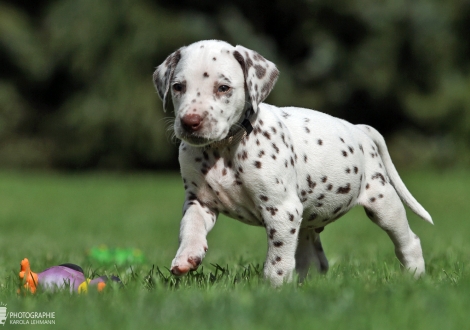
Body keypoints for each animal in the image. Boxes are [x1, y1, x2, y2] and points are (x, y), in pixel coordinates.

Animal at [152, 39, 432, 286]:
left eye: (223, 88)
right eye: (178, 87)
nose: (190, 121)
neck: (224, 149)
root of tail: (360, 129)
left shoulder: (281, 210)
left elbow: (277, 260)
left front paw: (272, 290)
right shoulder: (200, 201)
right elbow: (191, 227)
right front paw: (186, 256)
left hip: (382, 201)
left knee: (409, 240)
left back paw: (414, 276)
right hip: (308, 221)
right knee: (315, 260)